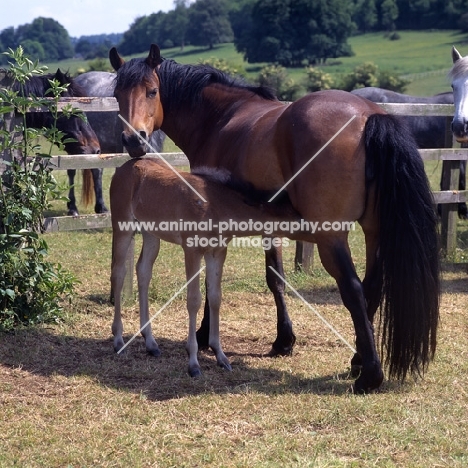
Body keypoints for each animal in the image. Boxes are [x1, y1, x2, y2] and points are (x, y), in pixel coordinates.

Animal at [110, 157, 300, 376]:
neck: (215, 205)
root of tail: (123, 167)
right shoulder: (192, 250)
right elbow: (194, 300)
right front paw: (193, 363)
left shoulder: (217, 251)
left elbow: (215, 298)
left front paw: (220, 356)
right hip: (123, 225)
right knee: (118, 273)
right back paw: (118, 340)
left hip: (151, 233)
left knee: (143, 271)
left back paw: (151, 343)